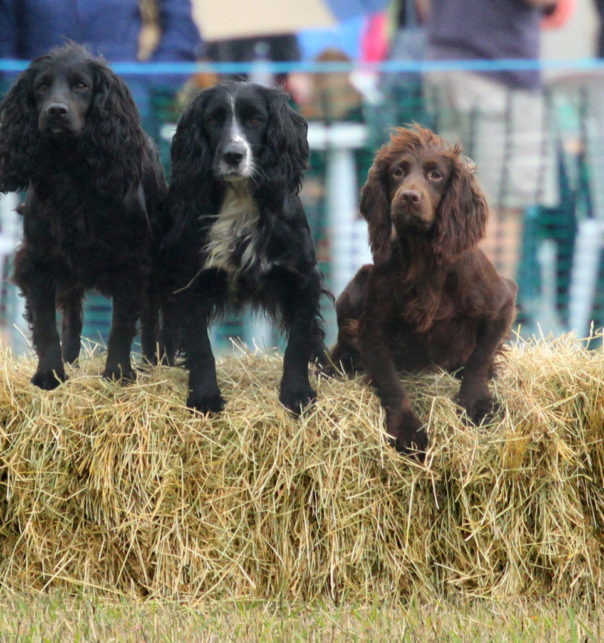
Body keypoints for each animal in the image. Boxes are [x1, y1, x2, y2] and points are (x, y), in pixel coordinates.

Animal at [0, 45, 170, 390]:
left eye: (81, 86)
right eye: (41, 87)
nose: (56, 111)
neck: (70, 172)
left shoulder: (131, 263)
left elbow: (121, 326)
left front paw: (117, 375)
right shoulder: (40, 260)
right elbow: (47, 325)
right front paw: (50, 375)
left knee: (149, 316)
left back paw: (151, 362)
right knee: (73, 315)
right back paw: (71, 359)